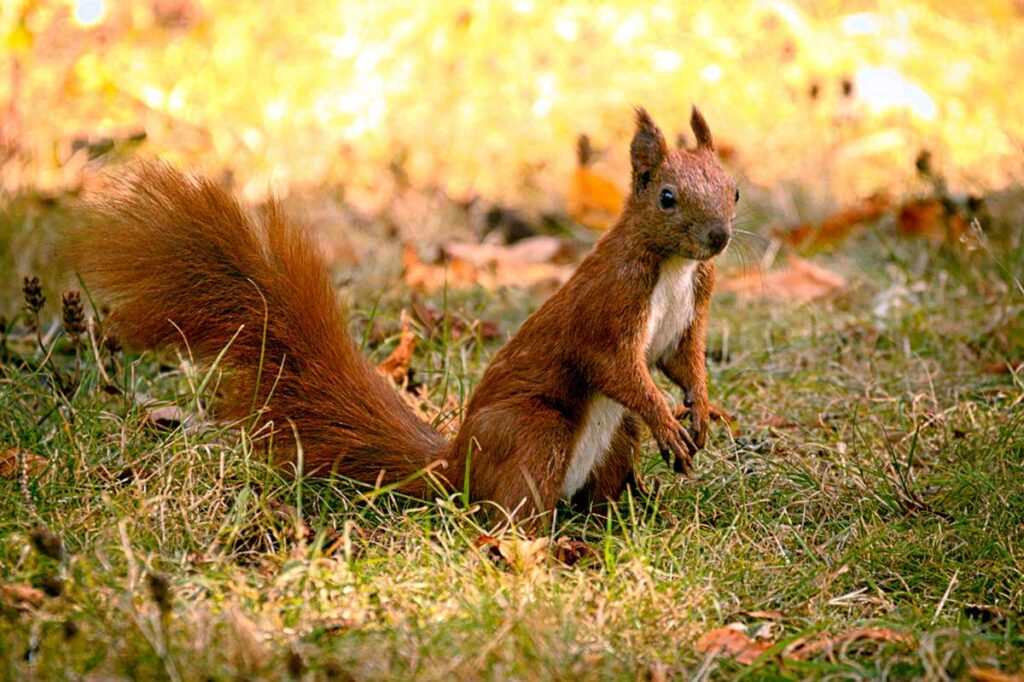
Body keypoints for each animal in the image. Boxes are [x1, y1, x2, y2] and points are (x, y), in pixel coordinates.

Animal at [70, 104, 737, 520]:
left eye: (732, 189)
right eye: (667, 197)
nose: (720, 238)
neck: (673, 267)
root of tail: (457, 466)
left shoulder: (690, 312)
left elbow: (681, 361)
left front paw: (699, 410)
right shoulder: (607, 307)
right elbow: (618, 367)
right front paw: (671, 423)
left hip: (612, 436)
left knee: (597, 488)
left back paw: (624, 517)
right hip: (532, 432)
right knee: (508, 515)